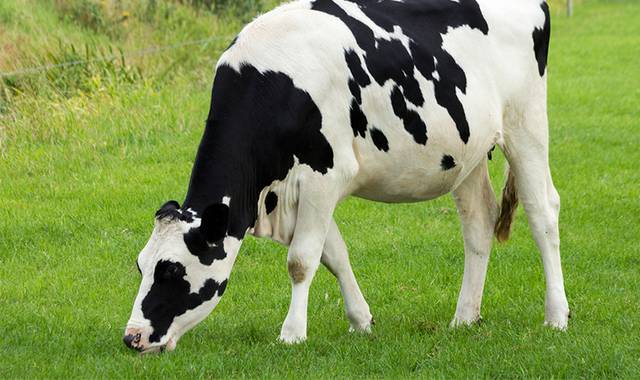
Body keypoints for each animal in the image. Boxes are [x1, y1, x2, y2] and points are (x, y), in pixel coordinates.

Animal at [122, 0, 568, 354]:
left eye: (171, 270)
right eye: (141, 266)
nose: (132, 338)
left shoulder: (324, 175)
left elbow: (301, 260)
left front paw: (292, 334)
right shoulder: (304, 188)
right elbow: (333, 253)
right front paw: (361, 320)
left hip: (525, 122)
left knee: (542, 212)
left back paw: (556, 315)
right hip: (468, 152)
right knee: (478, 221)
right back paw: (464, 317)